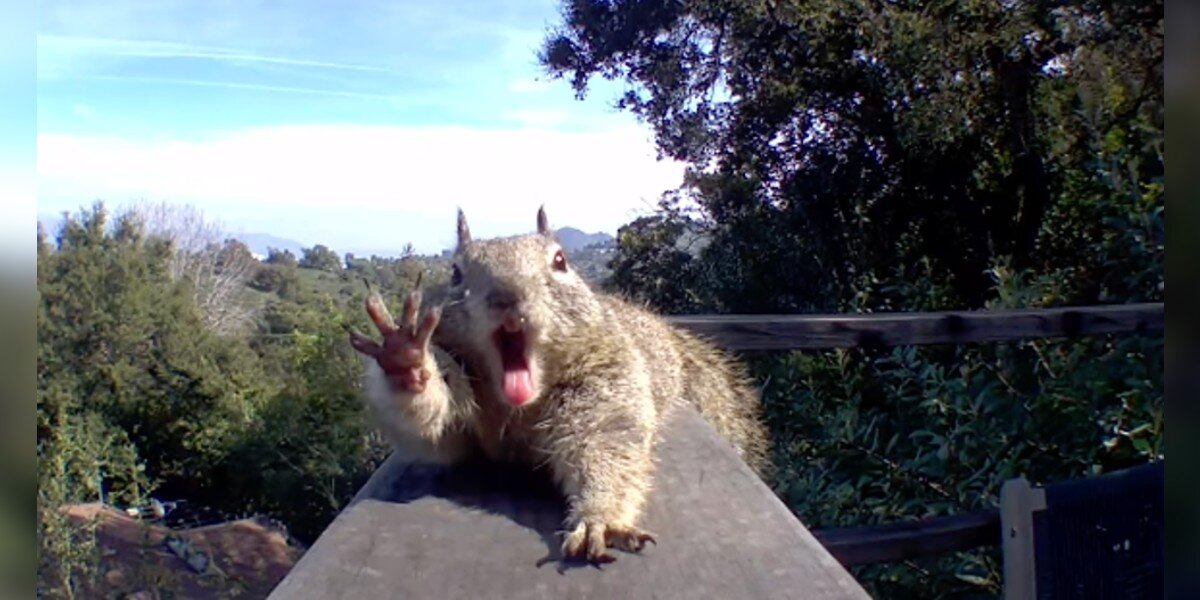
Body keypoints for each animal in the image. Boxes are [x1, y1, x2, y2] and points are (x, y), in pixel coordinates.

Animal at [348, 207, 771, 564]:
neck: (517, 408)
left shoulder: (607, 380)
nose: (508, 296)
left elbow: (605, 446)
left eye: (559, 261)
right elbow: (438, 431)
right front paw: (407, 359)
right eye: (454, 273)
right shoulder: (461, 420)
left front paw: (601, 518)